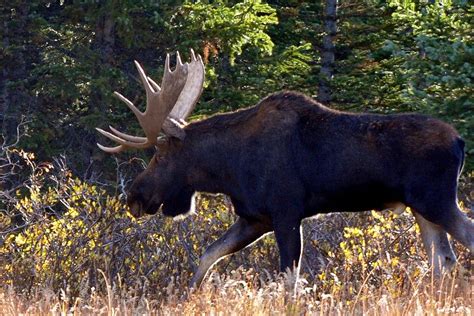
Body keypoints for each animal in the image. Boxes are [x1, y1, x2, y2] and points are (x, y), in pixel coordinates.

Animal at [97, 50, 474, 290]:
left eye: (159, 157)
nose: (134, 197)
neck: (227, 170)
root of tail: (460, 141)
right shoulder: (255, 217)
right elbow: (207, 256)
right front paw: (191, 296)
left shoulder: (286, 212)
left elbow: (289, 280)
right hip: (422, 210)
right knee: (445, 262)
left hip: (436, 200)